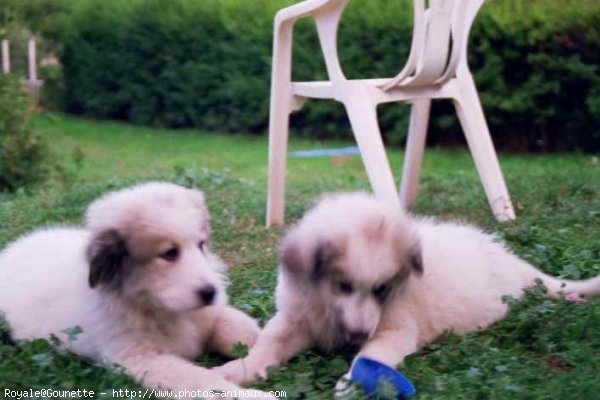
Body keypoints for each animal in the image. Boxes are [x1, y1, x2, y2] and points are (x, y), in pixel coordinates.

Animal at [0, 183, 272, 398]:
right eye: (169, 253)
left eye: (201, 245)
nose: (211, 292)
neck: (161, 307)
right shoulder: (143, 358)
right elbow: (205, 380)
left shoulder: (212, 316)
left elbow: (244, 331)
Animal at [216, 193, 600, 388]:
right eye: (343, 285)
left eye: (382, 289)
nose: (358, 334)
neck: (326, 307)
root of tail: (513, 261)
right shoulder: (296, 318)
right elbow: (269, 345)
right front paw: (237, 370)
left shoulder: (395, 330)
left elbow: (369, 358)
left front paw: (355, 384)